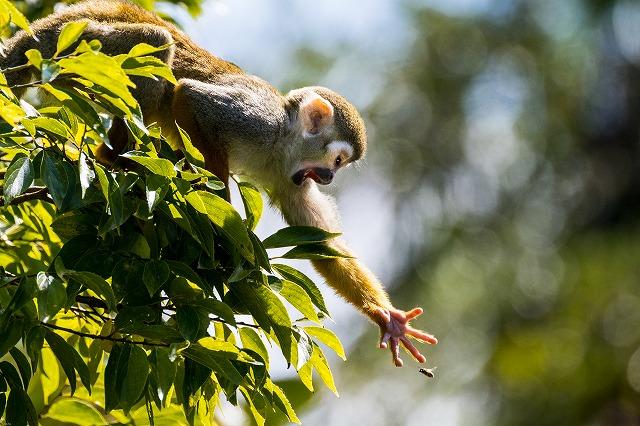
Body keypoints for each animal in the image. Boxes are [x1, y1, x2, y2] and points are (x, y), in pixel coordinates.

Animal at [0, 0, 438, 366]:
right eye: (337, 160)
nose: (329, 177)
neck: (281, 140)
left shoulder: (290, 177)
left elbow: (323, 245)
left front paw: (388, 318)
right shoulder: (255, 119)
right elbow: (189, 97)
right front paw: (217, 198)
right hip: (80, 46)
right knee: (157, 48)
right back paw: (116, 155)